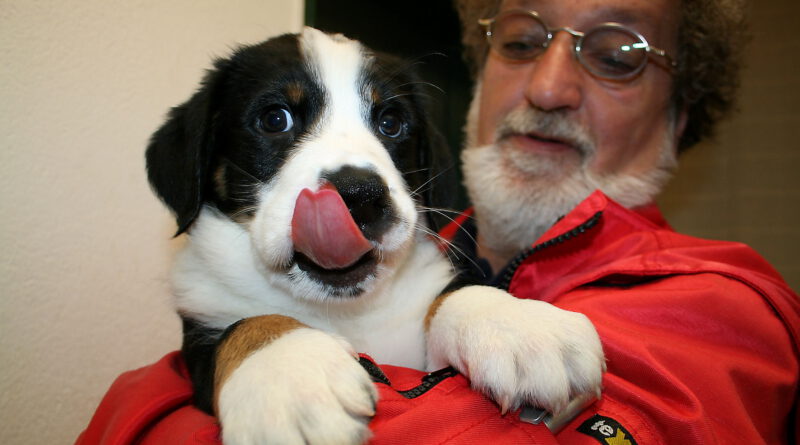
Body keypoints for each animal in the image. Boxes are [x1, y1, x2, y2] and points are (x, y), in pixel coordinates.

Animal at [145, 26, 608, 442]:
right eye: (275, 119)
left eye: (390, 123)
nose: (358, 195)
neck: (348, 313)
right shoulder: (200, 329)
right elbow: (248, 324)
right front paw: (289, 375)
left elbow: (454, 293)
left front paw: (518, 325)